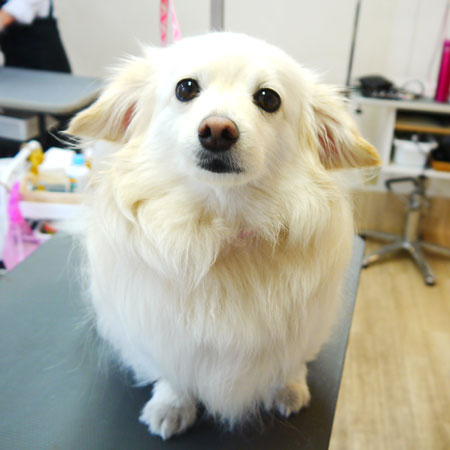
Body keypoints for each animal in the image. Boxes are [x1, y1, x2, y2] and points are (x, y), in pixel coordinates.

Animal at [68, 32, 380, 440]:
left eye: (268, 98)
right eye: (186, 88)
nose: (217, 130)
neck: (223, 224)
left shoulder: (305, 321)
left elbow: (291, 360)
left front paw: (288, 387)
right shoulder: (161, 330)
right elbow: (173, 374)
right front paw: (172, 405)